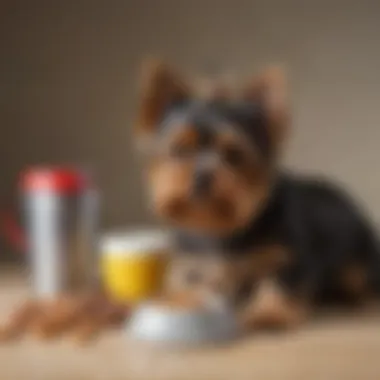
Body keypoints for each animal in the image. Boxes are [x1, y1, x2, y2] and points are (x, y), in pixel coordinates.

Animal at [133, 59, 380, 330]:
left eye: (234, 154)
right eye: (180, 149)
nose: (203, 176)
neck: (218, 226)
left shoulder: (290, 256)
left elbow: (279, 282)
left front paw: (268, 314)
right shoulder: (193, 264)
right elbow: (188, 284)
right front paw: (180, 303)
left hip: (357, 259)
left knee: (360, 279)